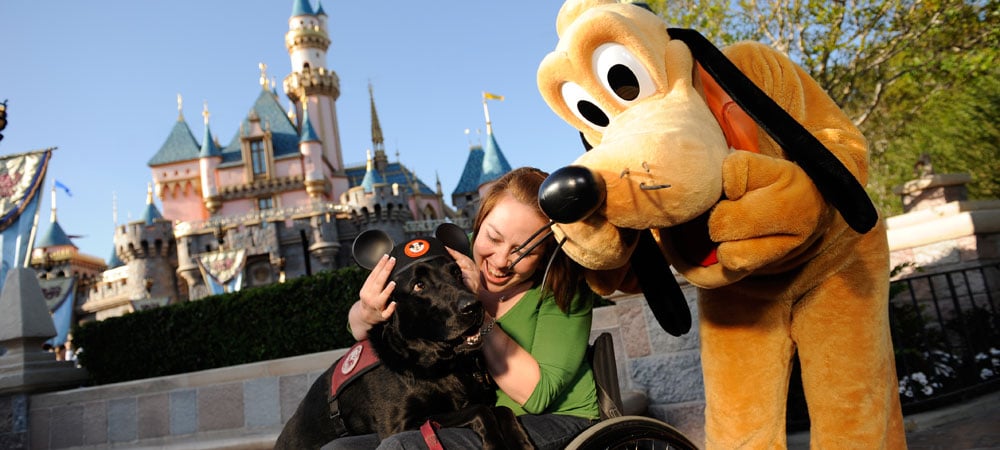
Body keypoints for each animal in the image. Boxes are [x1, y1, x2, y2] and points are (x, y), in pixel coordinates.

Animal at [274, 225, 536, 450]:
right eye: (419, 285)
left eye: (456, 273)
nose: (473, 306)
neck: (442, 365)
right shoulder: (402, 425)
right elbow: (480, 410)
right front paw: (495, 442)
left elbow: (502, 410)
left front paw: (519, 440)